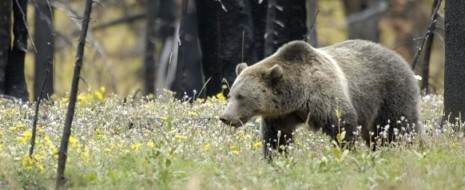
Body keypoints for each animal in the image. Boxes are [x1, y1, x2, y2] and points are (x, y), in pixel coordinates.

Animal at [219, 39, 418, 157]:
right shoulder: (281, 115)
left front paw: (347, 152)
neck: (297, 96)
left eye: (241, 96)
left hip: (391, 92)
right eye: (231, 94)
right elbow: (276, 137)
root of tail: (398, 56)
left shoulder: (323, 96)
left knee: (400, 126)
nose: (225, 117)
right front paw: (275, 157)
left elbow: (342, 125)